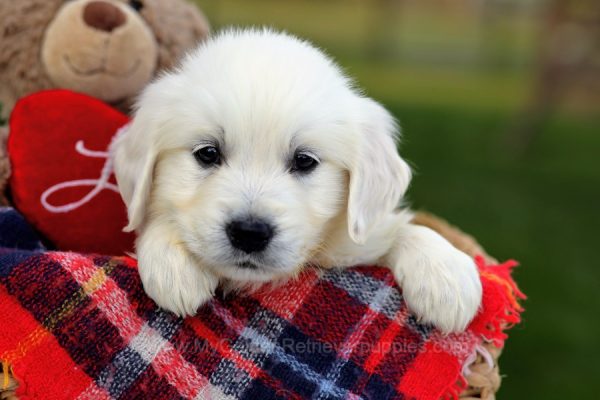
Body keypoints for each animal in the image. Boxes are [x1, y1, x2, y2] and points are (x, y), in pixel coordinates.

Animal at [112, 29, 482, 332]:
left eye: (305, 161)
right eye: (207, 153)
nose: (249, 233)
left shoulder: (359, 242)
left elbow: (404, 228)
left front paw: (446, 276)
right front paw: (173, 261)